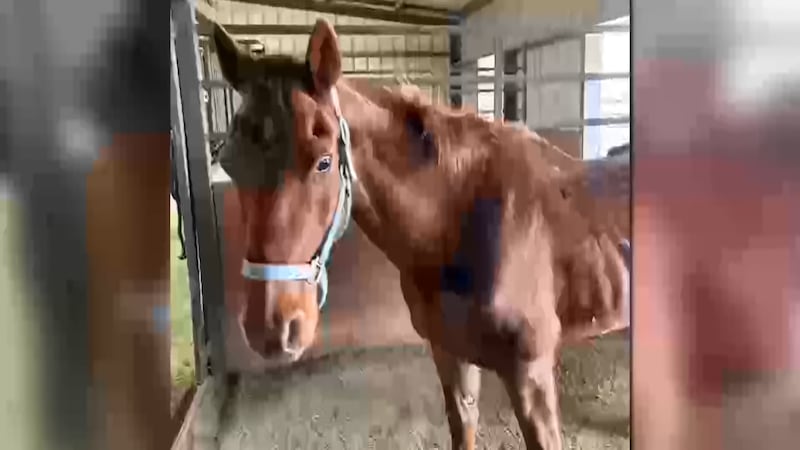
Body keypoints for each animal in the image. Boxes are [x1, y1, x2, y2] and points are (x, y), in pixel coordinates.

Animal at [211, 19, 630, 450]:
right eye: (228, 163)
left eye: (324, 162)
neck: (461, 221)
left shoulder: (531, 376)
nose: (270, 329)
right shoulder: (450, 355)